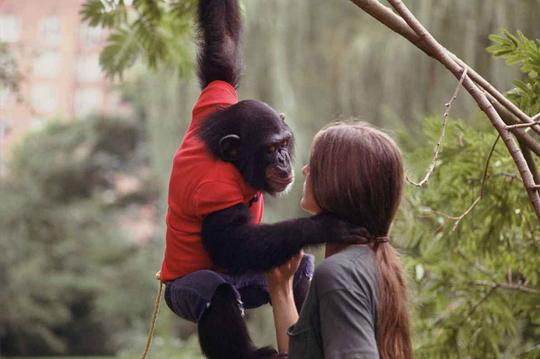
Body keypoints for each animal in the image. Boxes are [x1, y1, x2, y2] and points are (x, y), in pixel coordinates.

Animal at [160, 1, 358, 358]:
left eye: (284, 143)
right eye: (270, 149)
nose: (283, 160)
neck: (233, 164)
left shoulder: (213, 102)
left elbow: (221, 54)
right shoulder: (213, 191)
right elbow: (228, 242)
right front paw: (324, 226)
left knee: (299, 272)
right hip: (180, 295)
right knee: (217, 291)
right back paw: (249, 352)